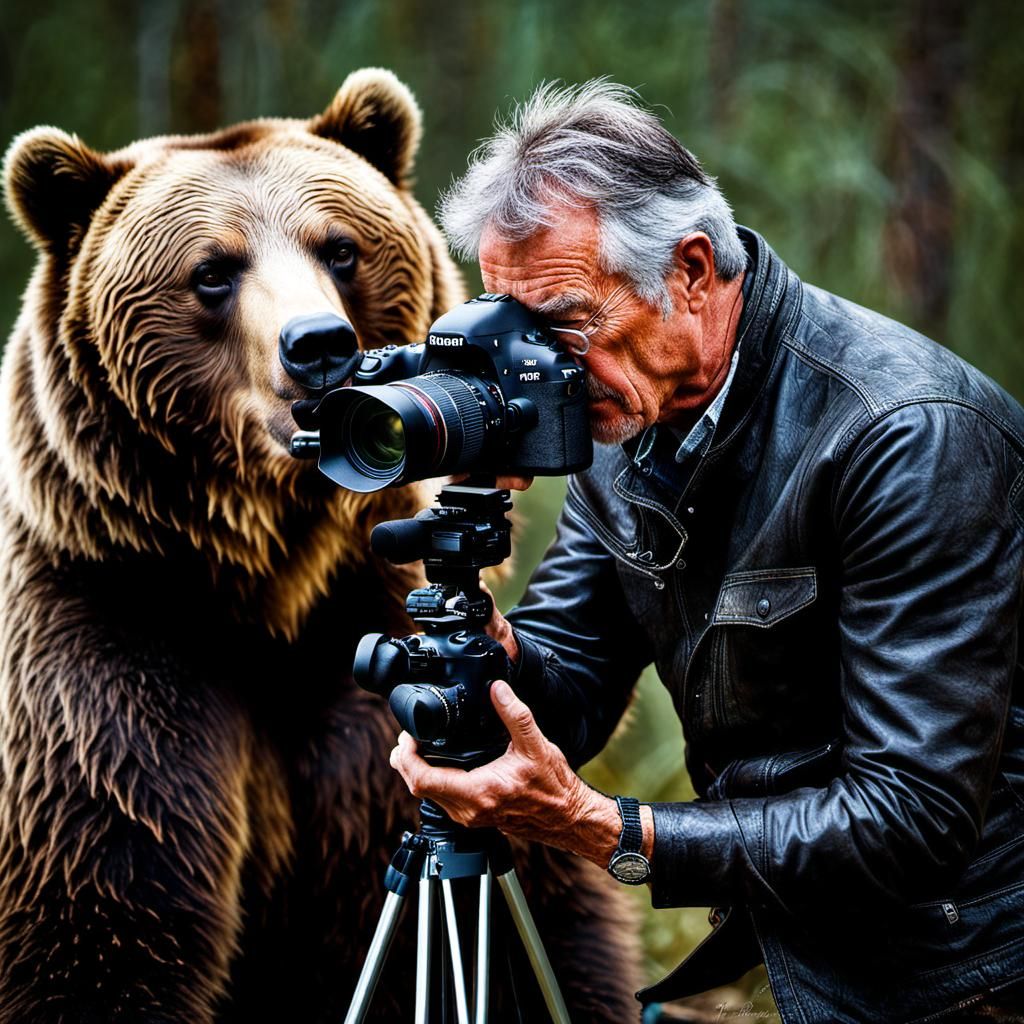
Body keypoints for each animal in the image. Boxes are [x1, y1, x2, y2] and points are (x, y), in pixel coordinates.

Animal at [0, 68, 643, 1023]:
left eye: (339, 248)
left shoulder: (357, 640)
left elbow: (554, 933)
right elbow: (104, 921)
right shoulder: (107, 657)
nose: (322, 346)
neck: (265, 581)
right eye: (212, 271)